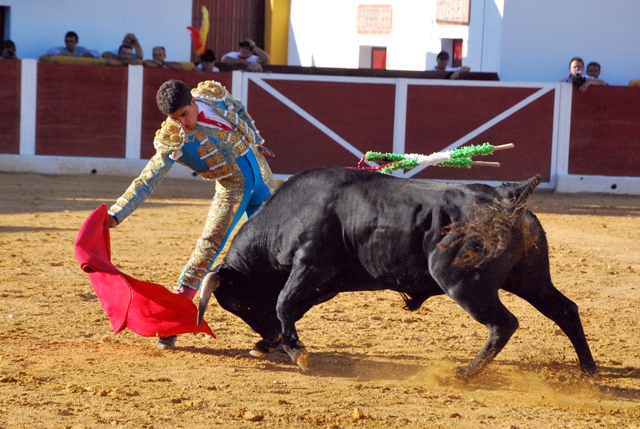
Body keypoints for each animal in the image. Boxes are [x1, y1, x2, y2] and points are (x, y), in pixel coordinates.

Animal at [196, 167, 596, 374]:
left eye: (239, 303)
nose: (268, 338)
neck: (288, 215)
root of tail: (506, 199)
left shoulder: (311, 265)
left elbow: (283, 304)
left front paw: (295, 351)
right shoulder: (325, 282)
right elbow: (292, 306)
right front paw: (271, 345)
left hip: (463, 283)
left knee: (504, 323)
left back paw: (466, 373)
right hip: (530, 277)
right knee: (564, 309)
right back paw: (588, 371)